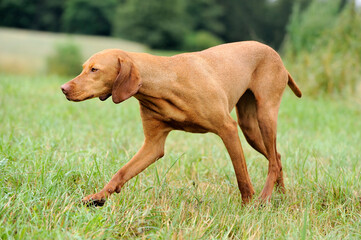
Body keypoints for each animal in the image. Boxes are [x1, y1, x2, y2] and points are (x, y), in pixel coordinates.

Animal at [60, 41, 300, 206]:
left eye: (95, 70)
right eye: (83, 67)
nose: (63, 88)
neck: (163, 82)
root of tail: (275, 54)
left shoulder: (228, 129)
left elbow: (241, 175)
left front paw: (247, 205)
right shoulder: (153, 145)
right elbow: (121, 172)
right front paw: (98, 197)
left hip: (264, 116)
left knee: (272, 161)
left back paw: (264, 198)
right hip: (249, 128)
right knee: (277, 157)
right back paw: (281, 196)